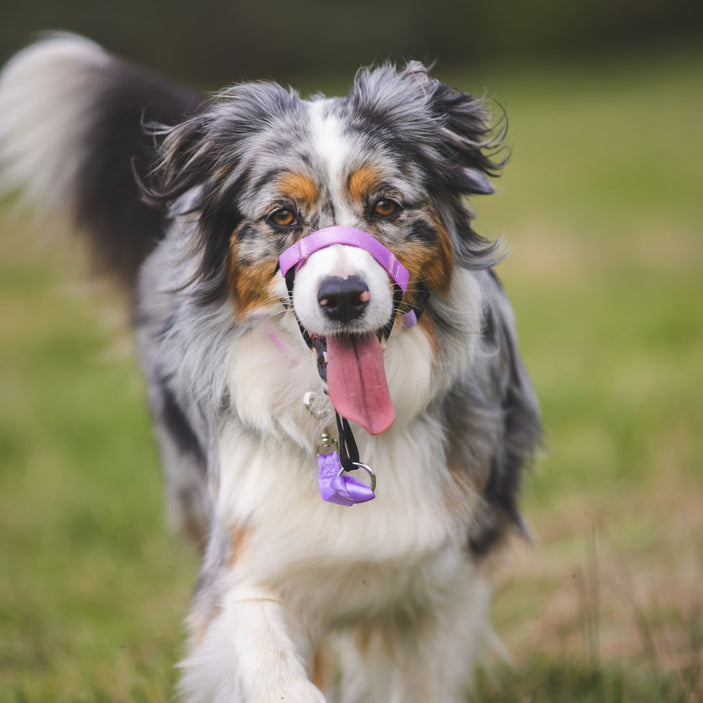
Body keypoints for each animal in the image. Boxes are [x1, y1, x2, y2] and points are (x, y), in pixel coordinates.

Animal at [0, 34, 544, 703]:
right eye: (282, 216)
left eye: (386, 205)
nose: (342, 296)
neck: (343, 428)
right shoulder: (246, 562)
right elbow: (274, 667)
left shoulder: (454, 573)